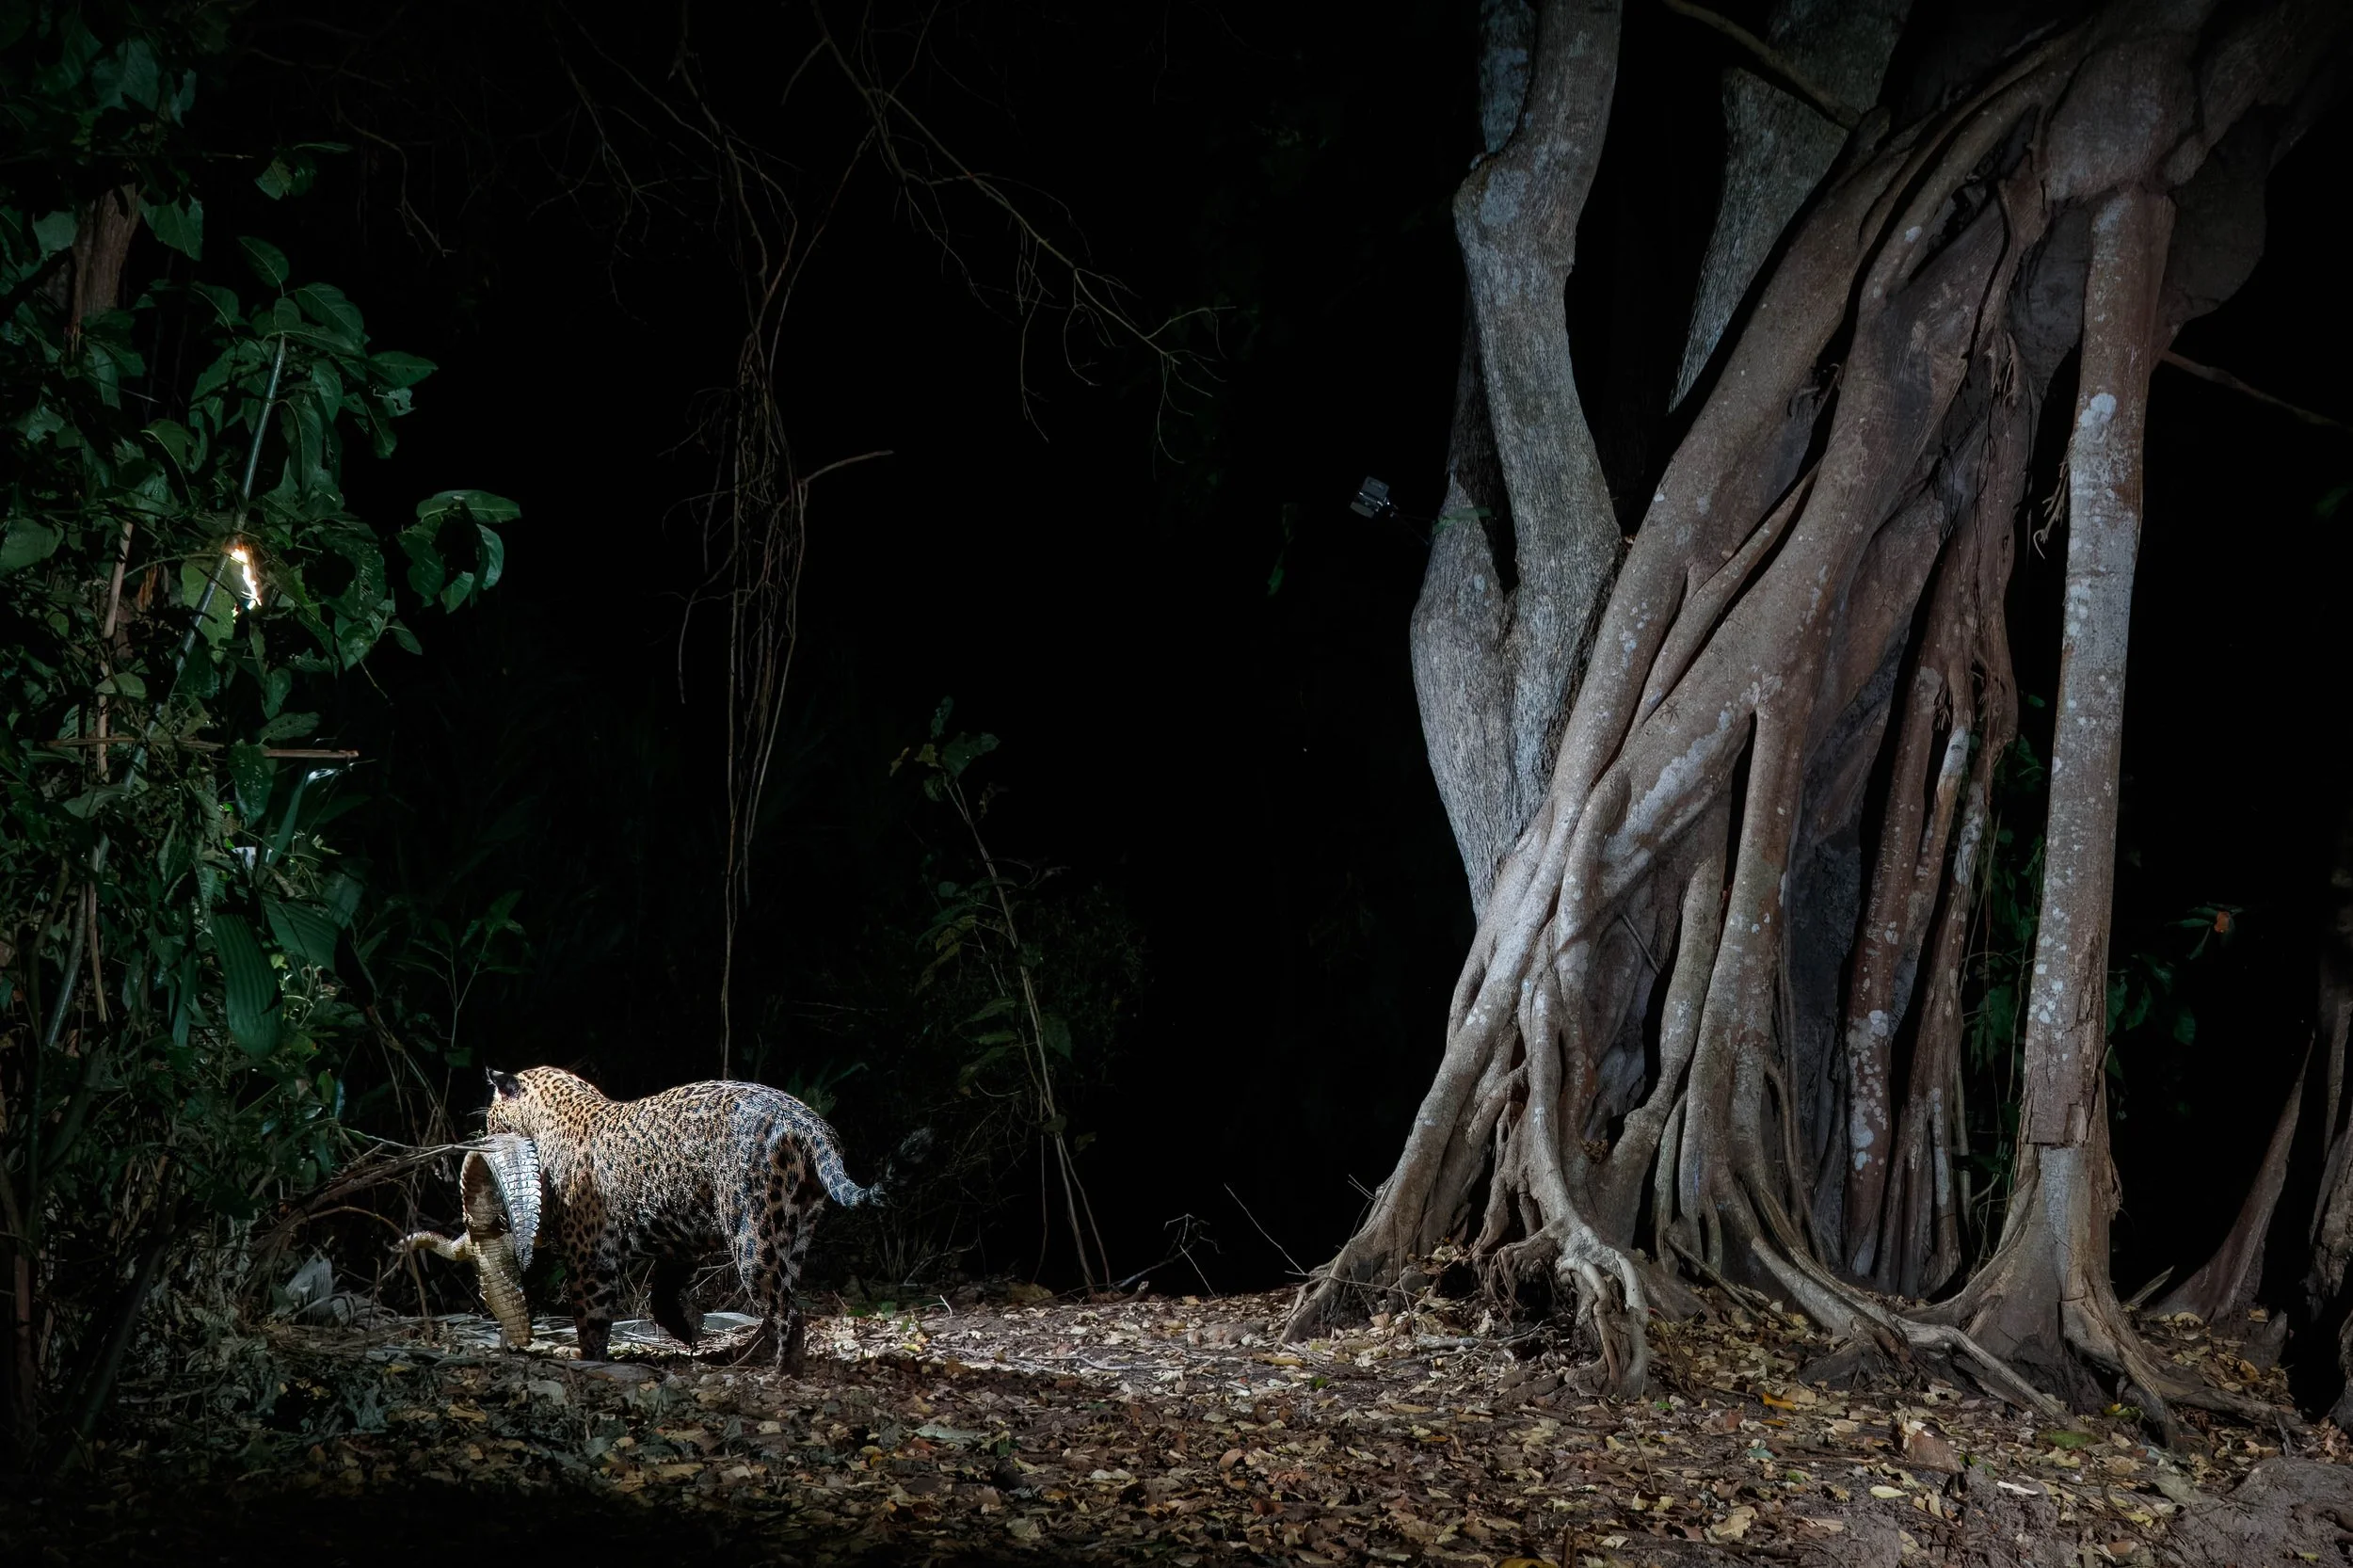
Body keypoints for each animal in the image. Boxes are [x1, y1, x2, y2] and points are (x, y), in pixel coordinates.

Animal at [482, 1064, 884, 1368]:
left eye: (491, 1117)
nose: (482, 1134)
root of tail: (804, 1119)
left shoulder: (590, 1257)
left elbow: (591, 1317)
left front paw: (592, 1360)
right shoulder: (681, 1243)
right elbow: (661, 1294)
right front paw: (684, 1331)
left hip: (754, 1235)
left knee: (788, 1312)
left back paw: (781, 1370)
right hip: (795, 1228)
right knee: (781, 1305)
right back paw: (748, 1354)